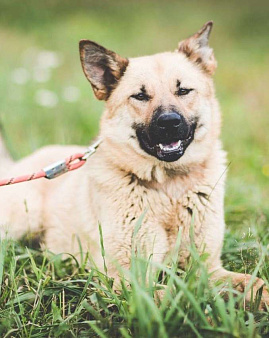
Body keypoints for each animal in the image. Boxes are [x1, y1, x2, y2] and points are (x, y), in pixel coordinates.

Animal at [0, 20, 266, 306]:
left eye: (183, 90)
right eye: (140, 96)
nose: (169, 122)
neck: (168, 190)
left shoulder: (208, 267)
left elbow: (254, 284)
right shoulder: (129, 278)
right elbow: (176, 296)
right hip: (20, 222)